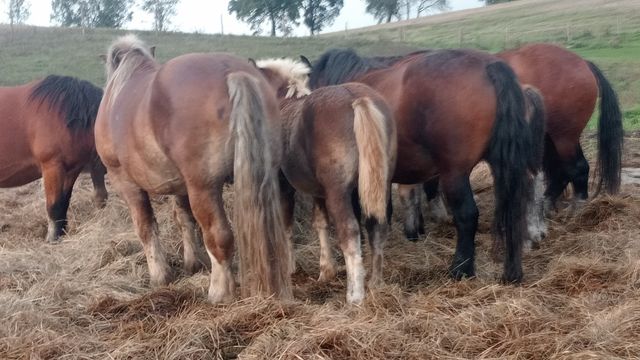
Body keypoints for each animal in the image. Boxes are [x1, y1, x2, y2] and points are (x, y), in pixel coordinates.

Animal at [0, 74, 106, 243]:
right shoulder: (52, 167)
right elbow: (54, 205)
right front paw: (52, 238)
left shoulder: (71, 169)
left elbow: (64, 202)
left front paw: (61, 233)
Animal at [95, 35, 292, 302]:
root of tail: (232, 72)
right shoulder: (180, 186)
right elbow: (184, 220)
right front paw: (193, 263)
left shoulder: (126, 183)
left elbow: (145, 227)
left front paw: (160, 276)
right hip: (265, 174)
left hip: (204, 188)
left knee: (219, 237)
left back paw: (219, 292)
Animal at [255, 58, 396, 304]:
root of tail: (356, 99)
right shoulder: (319, 192)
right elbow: (320, 223)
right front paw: (326, 270)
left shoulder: (284, 187)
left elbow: (286, 224)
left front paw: (290, 266)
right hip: (379, 187)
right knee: (376, 227)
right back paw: (375, 283)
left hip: (338, 194)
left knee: (349, 232)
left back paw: (355, 295)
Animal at [304, 48, 540, 284]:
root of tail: (489, 65)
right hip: (503, 167)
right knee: (513, 210)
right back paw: (512, 272)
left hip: (454, 173)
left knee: (467, 215)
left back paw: (461, 268)